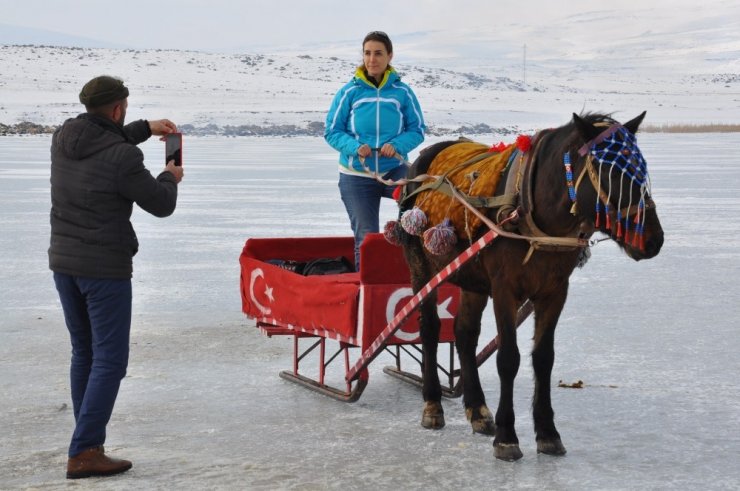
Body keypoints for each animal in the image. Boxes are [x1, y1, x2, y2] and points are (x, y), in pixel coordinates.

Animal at [398, 112, 664, 462]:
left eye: (640, 171)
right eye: (610, 171)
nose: (654, 240)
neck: (534, 212)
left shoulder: (554, 291)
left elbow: (543, 358)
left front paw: (548, 433)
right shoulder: (505, 289)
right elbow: (508, 358)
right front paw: (507, 437)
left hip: (472, 279)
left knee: (465, 334)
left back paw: (478, 410)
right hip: (422, 266)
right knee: (428, 328)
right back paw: (432, 405)